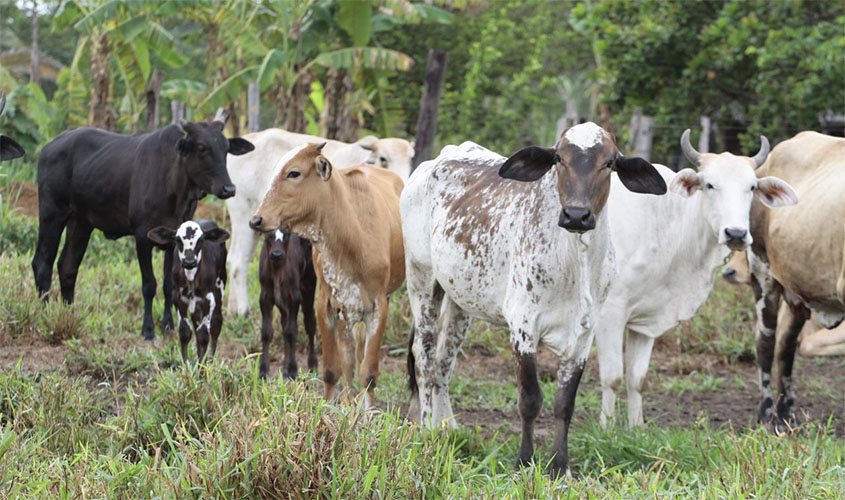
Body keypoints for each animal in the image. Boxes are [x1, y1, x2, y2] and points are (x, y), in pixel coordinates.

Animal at [34, 120, 252, 340]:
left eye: (225, 149)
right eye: (202, 148)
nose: (229, 189)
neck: (175, 184)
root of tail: (48, 147)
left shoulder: (173, 241)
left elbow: (168, 285)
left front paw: (168, 327)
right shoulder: (142, 238)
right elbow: (149, 285)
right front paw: (148, 330)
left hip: (81, 222)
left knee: (68, 268)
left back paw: (68, 315)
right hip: (52, 213)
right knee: (43, 264)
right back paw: (44, 316)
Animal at [258, 230, 316, 378]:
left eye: (286, 235)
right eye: (269, 235)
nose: (277, 254)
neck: (278, 271)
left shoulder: (294, 297)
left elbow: (291, 332)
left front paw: (293, 370)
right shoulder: (265, 297)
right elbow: (266, 332)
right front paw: (263, 371)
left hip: (309, 287)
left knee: (310, 324)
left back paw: (312, 365)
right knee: (284, 323)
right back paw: (284, 367)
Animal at [400, 123, 664, 478]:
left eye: (609, 163)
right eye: (559, 159)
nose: (576, 215)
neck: (574, 261)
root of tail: (434, 161)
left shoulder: (584, 334)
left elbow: (565, 402)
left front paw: (560, 466)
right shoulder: (523, 326)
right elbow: (530, 399)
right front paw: (524, 462)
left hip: (459, 300)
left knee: (444, 360)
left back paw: (449, 429)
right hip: (422, 280)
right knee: (424, 357)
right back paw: (428, 428)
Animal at [744, 131, 844, 432]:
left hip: (797, 294)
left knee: (785, 346)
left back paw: (786, 414)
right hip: (763, 274)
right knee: (766, 343)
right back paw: (766, 414)